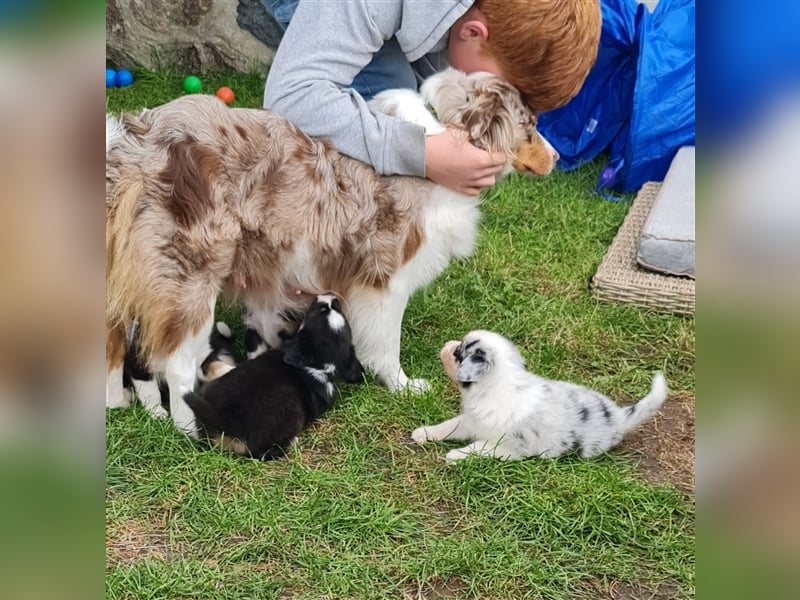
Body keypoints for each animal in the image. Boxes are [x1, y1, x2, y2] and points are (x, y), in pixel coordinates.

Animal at [412, 330, 668, 462]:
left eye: (457, 352)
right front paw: (424, 433)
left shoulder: (507, 447)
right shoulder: (470, 421)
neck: (496, 387)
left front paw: (456, 454)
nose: (447, 343)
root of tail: (620, 416)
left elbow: (478, 447)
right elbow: (448, 426)